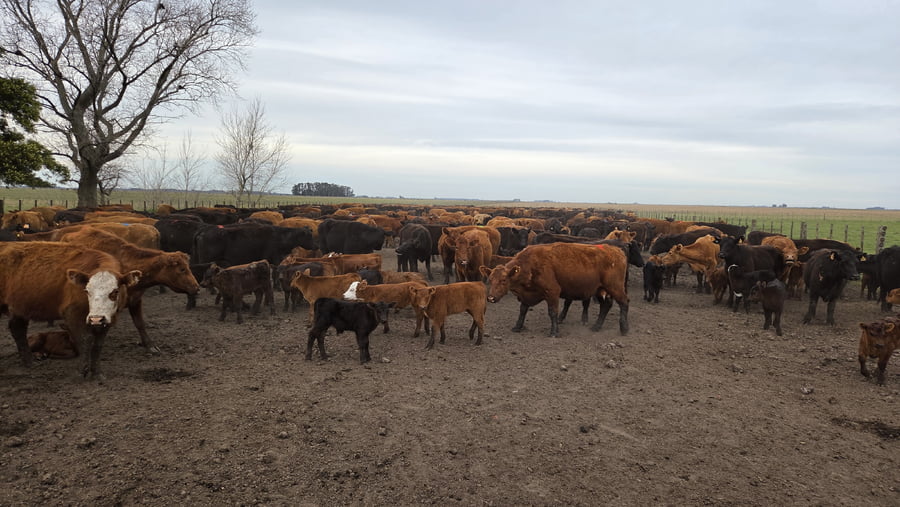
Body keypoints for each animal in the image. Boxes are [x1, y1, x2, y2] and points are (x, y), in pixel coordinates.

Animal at [0, 242, 141, 379]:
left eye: (115, 291)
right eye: (86, 291)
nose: (95, 318)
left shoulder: (108, 319)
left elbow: (98, 344)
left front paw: (97, 373)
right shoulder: (72, 314)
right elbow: (86, 339)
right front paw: (81, 372)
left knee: (18, 329)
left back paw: (30, 362)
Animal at [480, 242, 628, 337]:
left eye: (503, 280)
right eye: (490, 280)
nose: (491, 298)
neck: (531, 265)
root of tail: (617, 251)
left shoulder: (552, 292)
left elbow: (552, 312)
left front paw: (554, 332)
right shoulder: (527, 295)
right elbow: (523, 310)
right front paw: (517, 327)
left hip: (615, 287)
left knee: (624, 302)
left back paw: (624, 328)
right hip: (599, 289)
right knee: (606, 305)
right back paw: (596, 326)